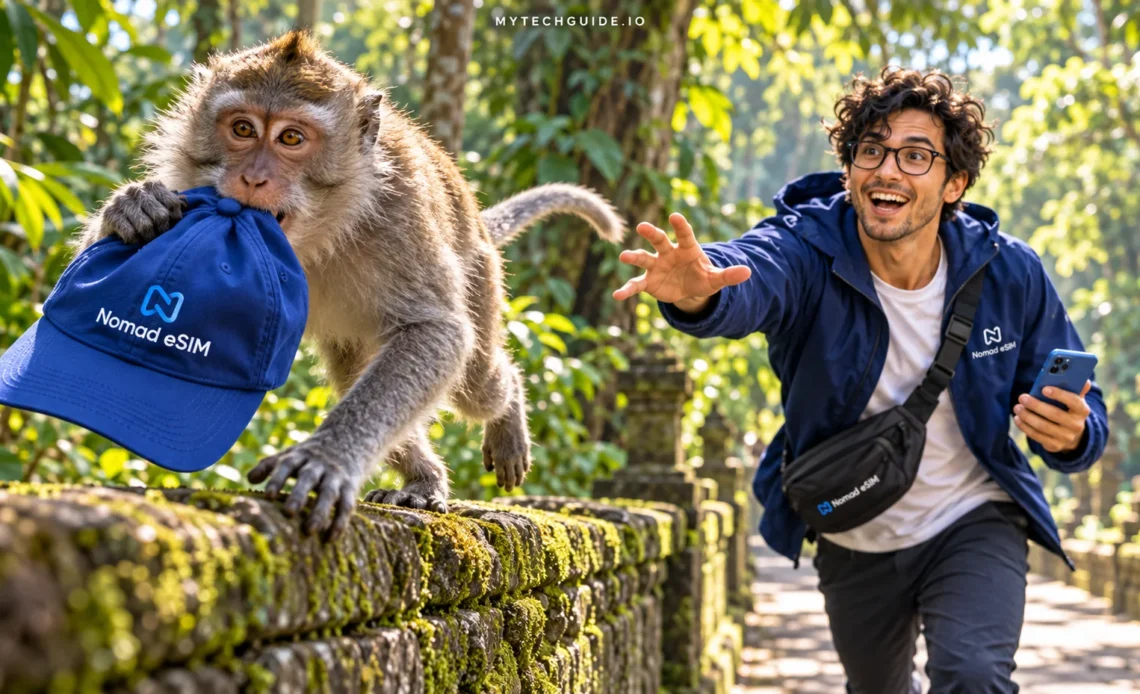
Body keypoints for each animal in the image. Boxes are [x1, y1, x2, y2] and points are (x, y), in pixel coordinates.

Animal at [72, 30, 625, 538]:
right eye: (243, 128)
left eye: (291, 139)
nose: (253, 177)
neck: (315, 231)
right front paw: (132, 207)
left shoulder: (400, 215)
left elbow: (438, 333)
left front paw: (328, 458)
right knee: (353, 369)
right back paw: (423, 478)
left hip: (482, 276)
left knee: (478, 382)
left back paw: (506, 409)